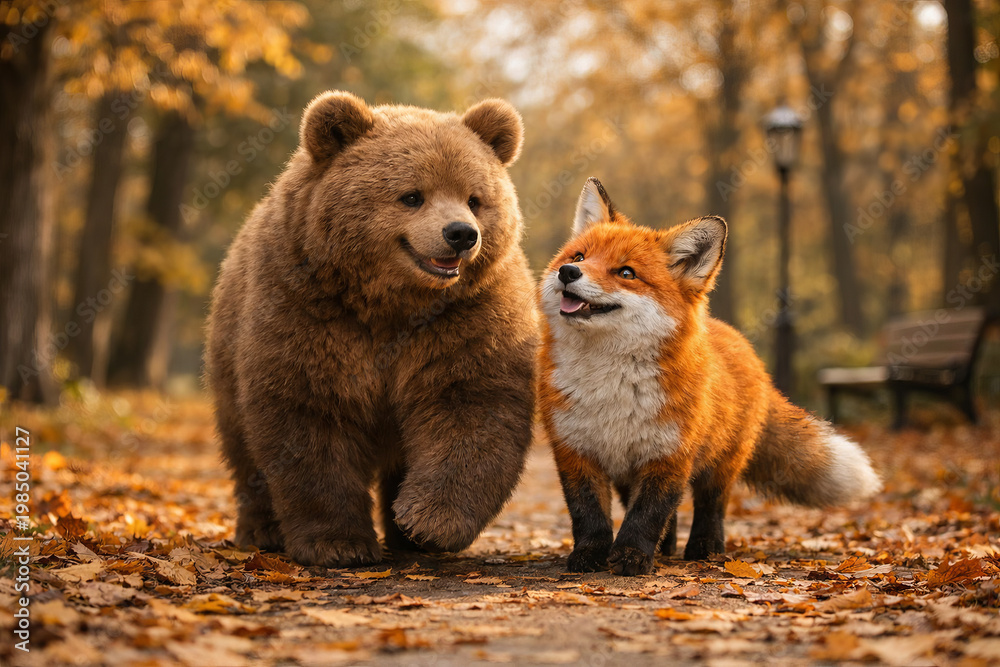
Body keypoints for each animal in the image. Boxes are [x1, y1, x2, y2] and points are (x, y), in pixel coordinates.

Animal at [205, 90, 538, 567]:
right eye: (412, 195)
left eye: (475, 198)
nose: (461, 234)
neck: (391, 303)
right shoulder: (308, 308)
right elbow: (311, 414)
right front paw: (339, 543)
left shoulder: (466, 315)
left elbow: (471, 406)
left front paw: (426, 522)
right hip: (228, 354)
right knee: (244, 451)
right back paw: (262, 531)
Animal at [537, 177, 882, 576]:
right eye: (579, 257)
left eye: (625, 273)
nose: (568, 273)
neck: (609, 384)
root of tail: (741, 343)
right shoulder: (575, 452)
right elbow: (589, 514)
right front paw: (591, 554)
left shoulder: (671, 454)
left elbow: (647, 515)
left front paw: (631, 556)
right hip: (628, 473)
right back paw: (667, 548)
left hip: (719, 464)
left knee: (711, 506)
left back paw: (705, 548)